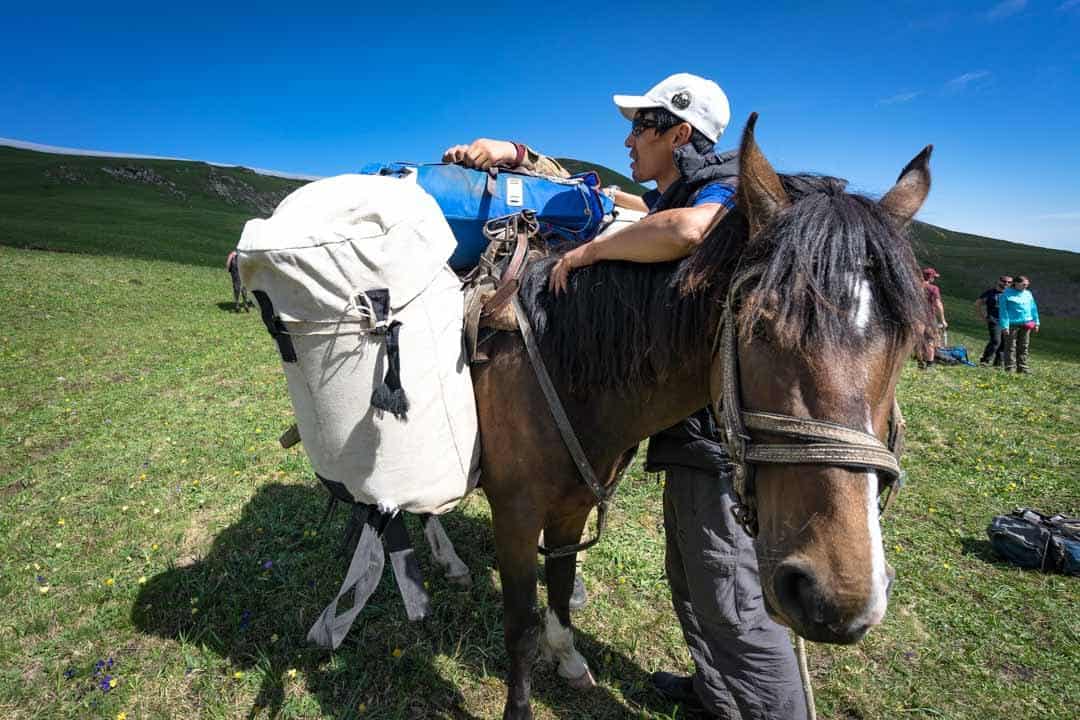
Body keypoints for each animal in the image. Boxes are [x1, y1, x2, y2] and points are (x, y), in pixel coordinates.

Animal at [477, 115, 933, 716]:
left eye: (907, 341)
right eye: (759, 324)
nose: (838, 598)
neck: (558, 362)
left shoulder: (572, 506)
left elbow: (559, 583)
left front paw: (569, 657)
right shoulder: (514, 515)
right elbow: (519, 626)